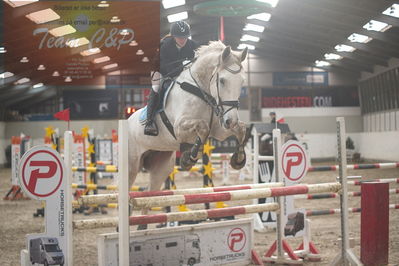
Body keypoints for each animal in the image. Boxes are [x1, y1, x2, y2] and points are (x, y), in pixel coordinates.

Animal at [128, 40, 248, 208]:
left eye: (242, 82)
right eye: (222, 81)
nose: (231, 121)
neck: (200, 90)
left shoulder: (218, 130)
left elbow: (241, 129)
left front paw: (238, 159)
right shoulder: (179, 128)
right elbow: (203, 128)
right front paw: (188, 159)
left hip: (161, 168)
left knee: (148, 197)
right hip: (131, 166)